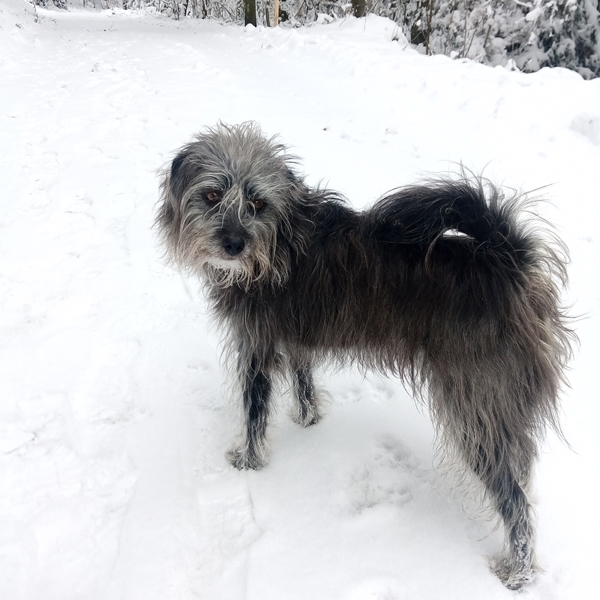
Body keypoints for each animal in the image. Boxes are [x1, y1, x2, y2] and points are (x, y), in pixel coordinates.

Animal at [156, 122, 573, 589]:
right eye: (212, 195)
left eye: (257, 202)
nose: (233, 244)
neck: (282, 237)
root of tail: (510, 261)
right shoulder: (294, 338)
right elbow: (303, 378)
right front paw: (308, 418)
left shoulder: (256, 346)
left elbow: (254, 409)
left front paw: (247, 462)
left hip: (477, 406)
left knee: (515, 499)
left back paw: (517, 573)